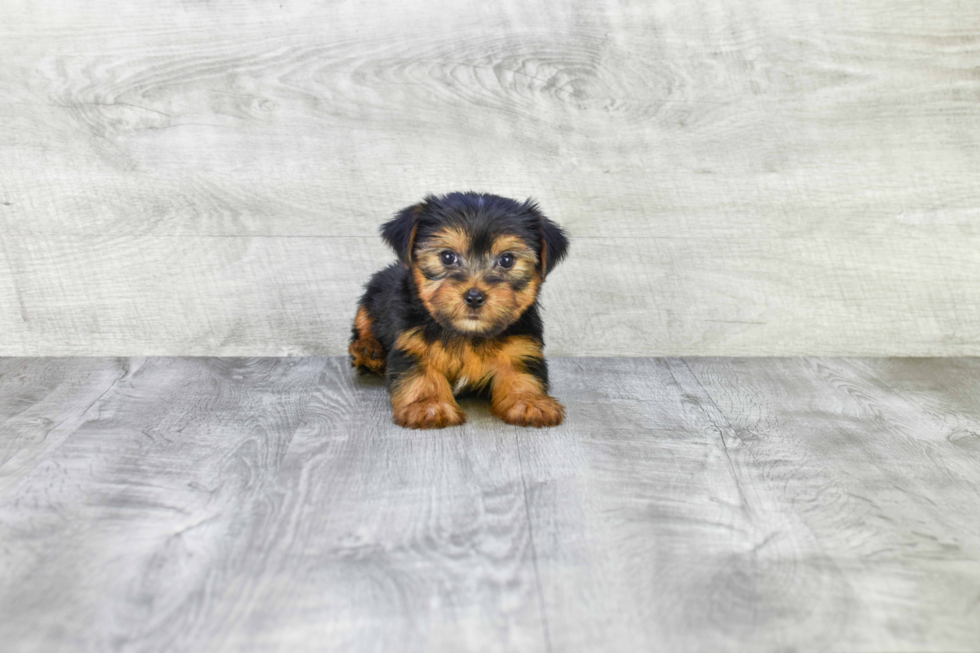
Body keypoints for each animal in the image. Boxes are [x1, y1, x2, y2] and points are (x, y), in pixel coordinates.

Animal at [350, 192, 568, 428]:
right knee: (363, 326)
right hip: (371, 298)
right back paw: (368, 351)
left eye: (507, 260)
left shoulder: (521, 346)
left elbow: (522, 373)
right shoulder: (413, 343)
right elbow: (421, 375)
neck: (468, 334)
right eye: (447, 257)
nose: (474, 297)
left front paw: (529, 402)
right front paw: (428, 405)